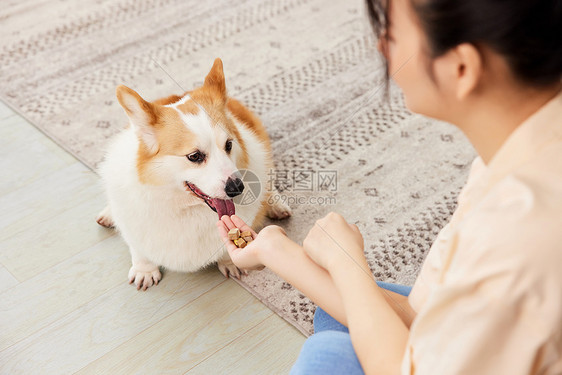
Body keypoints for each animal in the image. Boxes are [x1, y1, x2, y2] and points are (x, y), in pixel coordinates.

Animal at [95, 58, 288, 290]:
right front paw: (144, 270)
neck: (184, 207)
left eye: (229, 144)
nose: (237, 188)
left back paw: (276, 205)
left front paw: (230, 262)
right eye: (194, 156)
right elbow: (139, 248)